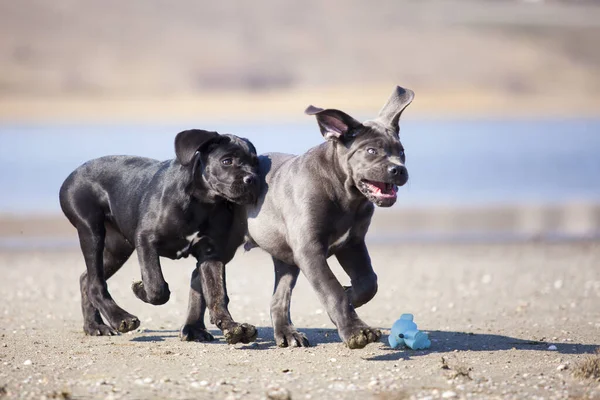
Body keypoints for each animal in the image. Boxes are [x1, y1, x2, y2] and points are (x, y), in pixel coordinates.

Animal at [58, 129, 260, 344]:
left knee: (86, 279)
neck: (202, 203)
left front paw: (232, 326)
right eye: (226, 161)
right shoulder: (146, 240)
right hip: (91, 231)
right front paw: (140, 289)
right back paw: (120, 318)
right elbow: (156, 286)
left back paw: (94, 326)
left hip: (118, 248)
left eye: (255, 163)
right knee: (95, 283)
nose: (252, 179)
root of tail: (75, 172)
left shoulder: (211, 254)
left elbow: (217, 294)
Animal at [246, 86, 414, 346]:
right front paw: (356, 330)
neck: (344, 193)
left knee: (279, 299)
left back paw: (288, 334)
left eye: (402, 152)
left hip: (286, 260)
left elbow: (369, 281)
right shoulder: (310, 250)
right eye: (371, 151)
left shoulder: (352, 244)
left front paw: (351, 297)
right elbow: (331, 289)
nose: (399, 169)